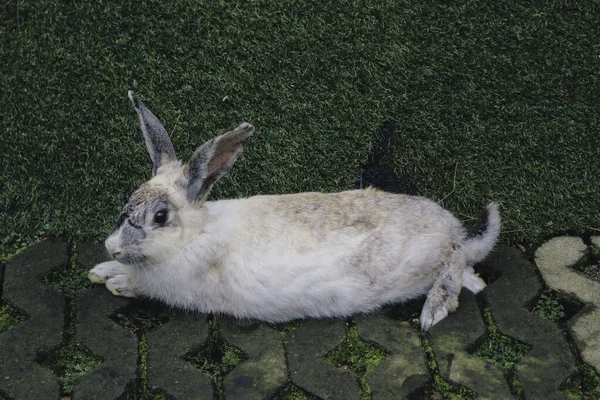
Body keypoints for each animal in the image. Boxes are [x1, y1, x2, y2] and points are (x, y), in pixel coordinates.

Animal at [90, 91, 502, 332]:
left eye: (160, 217)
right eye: (129, 201)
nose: (112, 246)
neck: (195, 234)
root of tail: (454, 228)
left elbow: (142, 284)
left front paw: (116, 280)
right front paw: (103, 271)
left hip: (425, 252)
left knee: (455, 256)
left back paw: (435, 309)